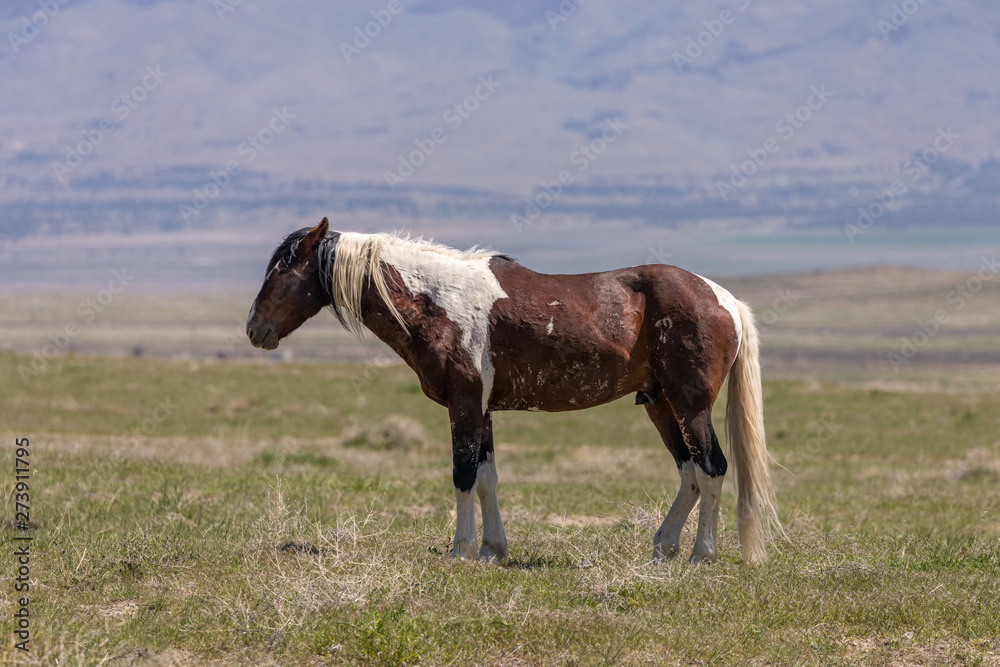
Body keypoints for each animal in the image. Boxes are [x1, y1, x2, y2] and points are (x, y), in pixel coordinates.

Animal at [247, 217, 781, 564]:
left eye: (284, 270)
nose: (254, 329)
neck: (437, 302)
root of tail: (722, 297)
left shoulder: (464, 405)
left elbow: (463, 476)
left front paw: (460, 550)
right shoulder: (481, 410)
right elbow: (487, 477)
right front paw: (491, 550)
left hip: (690, 405)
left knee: (711, 469)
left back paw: (701, 555)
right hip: (661, 405)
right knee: (689, 472)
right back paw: (663, 548)